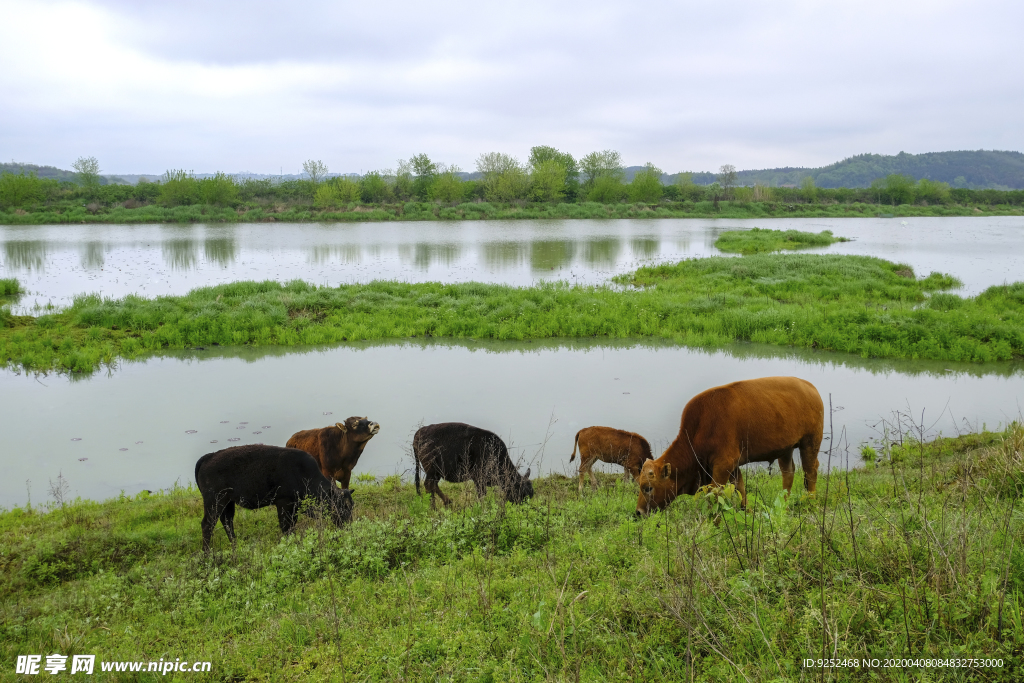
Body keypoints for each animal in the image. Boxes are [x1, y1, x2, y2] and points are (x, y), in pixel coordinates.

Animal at [195, 446, 356, 552]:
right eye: (342, 506)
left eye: (352, 505)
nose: (349, 526)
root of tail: (208, 457)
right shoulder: (284, 503)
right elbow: (286, 526)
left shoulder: (294, 506)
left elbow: (291, 525)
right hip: (215, 502)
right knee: (207, 524)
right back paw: (207, 553)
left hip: (228, 502)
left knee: (227, 521)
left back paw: (235, 546)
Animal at [630, 376, 823, 516]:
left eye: (648, 488)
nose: (638, 512)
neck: (701, 427)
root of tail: (810, 387)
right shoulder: (733, 465)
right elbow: (740, 488)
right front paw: (747, 511)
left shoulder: (723, 466)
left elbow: (715, 496)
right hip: (786, 449)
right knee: (788, 473)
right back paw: (784, 505)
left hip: (810, 442)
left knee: (810, 471)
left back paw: (811, 503)